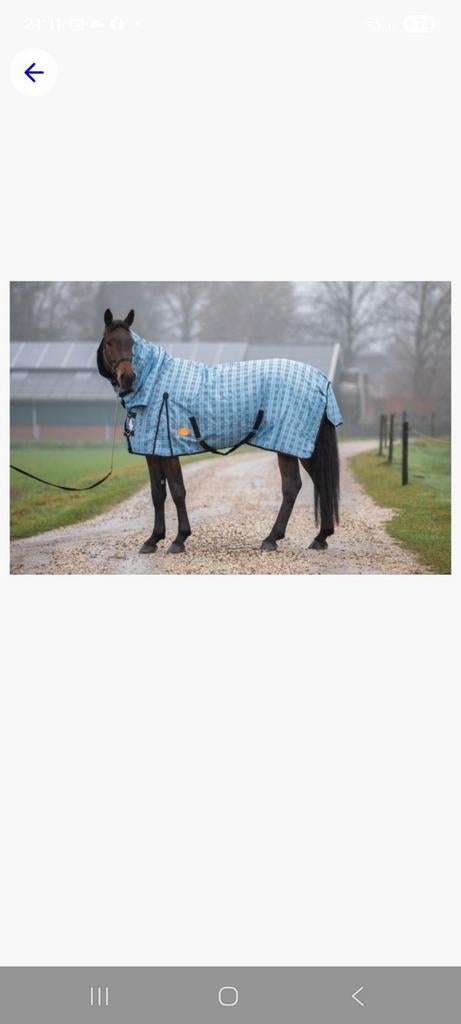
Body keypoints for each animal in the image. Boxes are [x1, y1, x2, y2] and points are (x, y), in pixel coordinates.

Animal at [97, 308, 341, 555]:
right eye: (109, 343)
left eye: (131, 343)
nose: (128, 377)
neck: (155, 383)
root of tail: (321, 380)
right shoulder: (154, 452)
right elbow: (158, 494)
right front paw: (153, 539)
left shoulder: (168, 451)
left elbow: (177, 491)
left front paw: (179, 539)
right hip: (304, 447)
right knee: (319, 482)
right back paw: (320, 537)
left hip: (291, 446)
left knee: (292, 486)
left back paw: (273, 538)